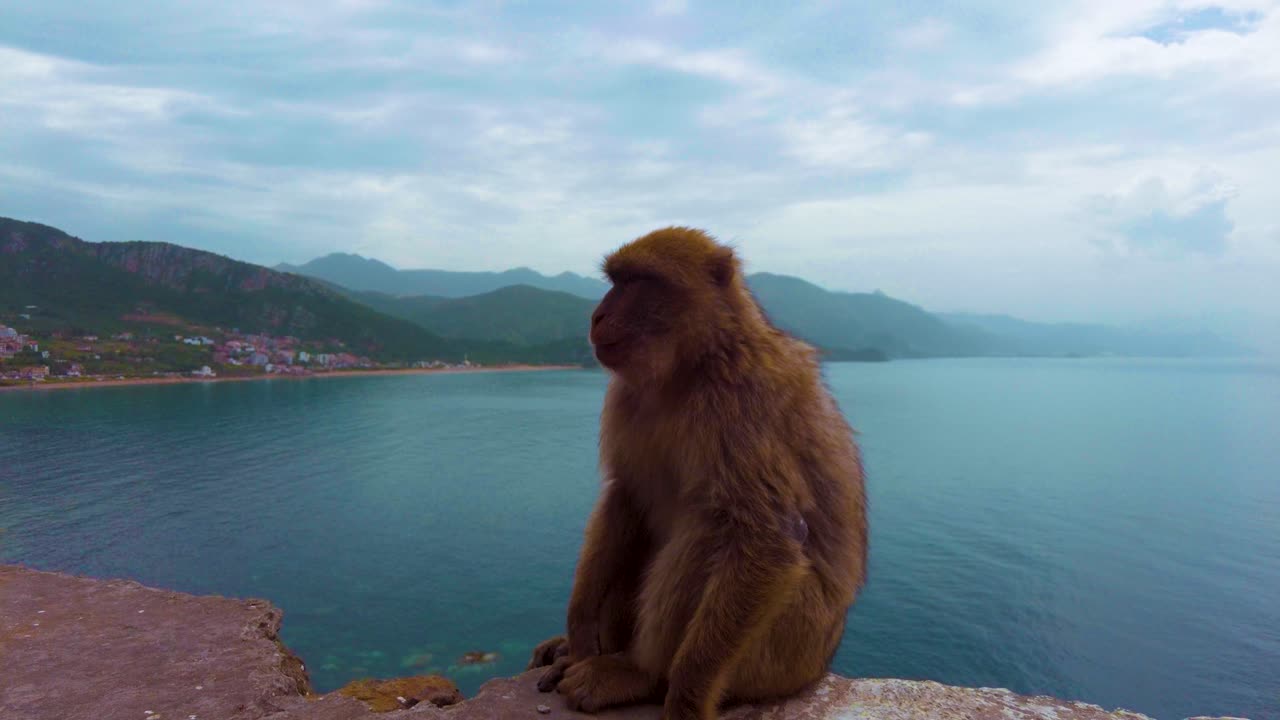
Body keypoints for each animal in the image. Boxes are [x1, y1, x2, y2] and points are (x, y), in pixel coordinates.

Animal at [527, 227, 868, 720]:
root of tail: (818, 666)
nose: (597, 314)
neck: (692, 365)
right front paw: (579, 626)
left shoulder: (742, 402)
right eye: (615, 280)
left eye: (637, 282)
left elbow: (769, 536)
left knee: (712, 528)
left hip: (785, 651)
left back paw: (639, 674)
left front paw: (686, 699)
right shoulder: (625, 395)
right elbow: (625, 494)